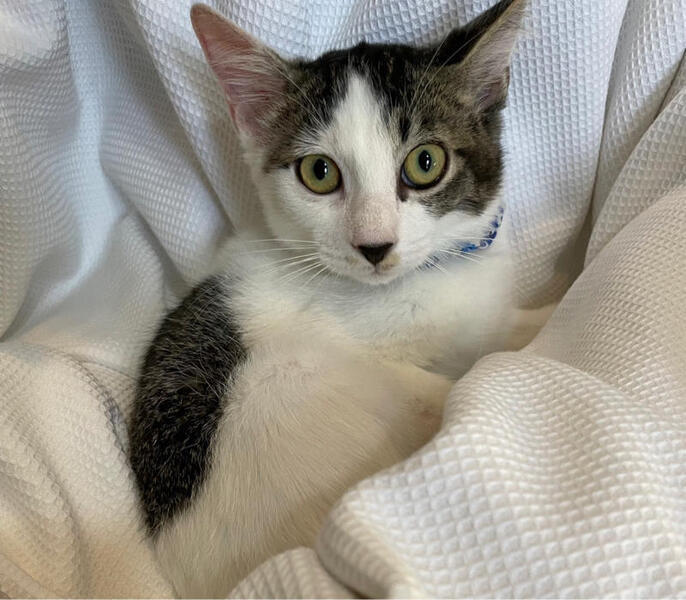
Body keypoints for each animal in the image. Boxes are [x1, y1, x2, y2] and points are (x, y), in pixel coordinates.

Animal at [128, 0, 544, 596]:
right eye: (319, 172)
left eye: (425, 163)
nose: (374, 245)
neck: (433, 274)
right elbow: (468, 368)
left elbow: (502, 325)